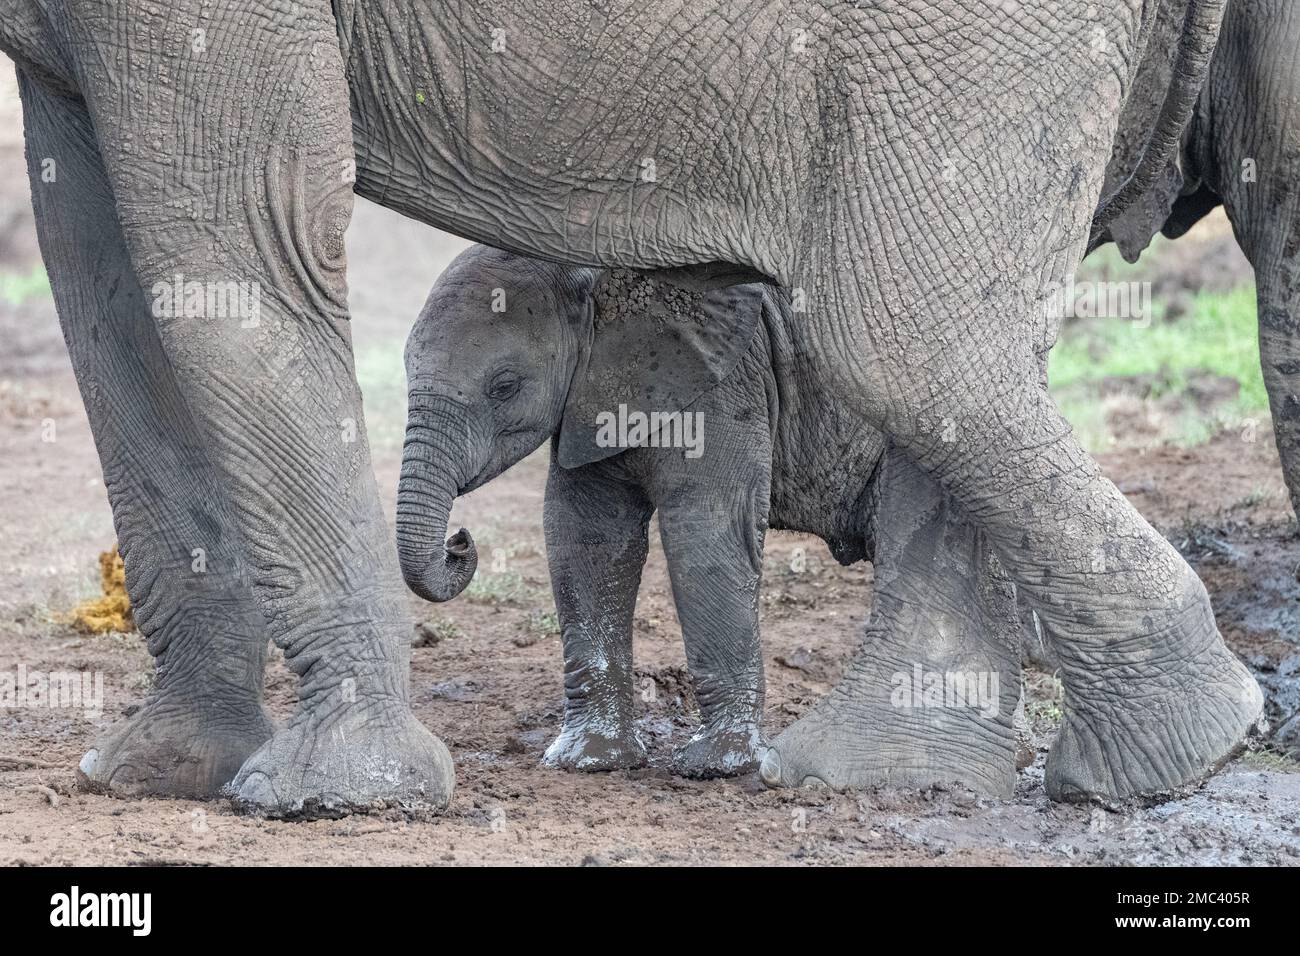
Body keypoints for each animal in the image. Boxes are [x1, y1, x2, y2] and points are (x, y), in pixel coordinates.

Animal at [395, 244, 889, 780]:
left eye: (504, 386)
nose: (458, 540)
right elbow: (585, 533)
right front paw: (587, 760)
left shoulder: (728, 382)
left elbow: (705, 531)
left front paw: (714, 766)